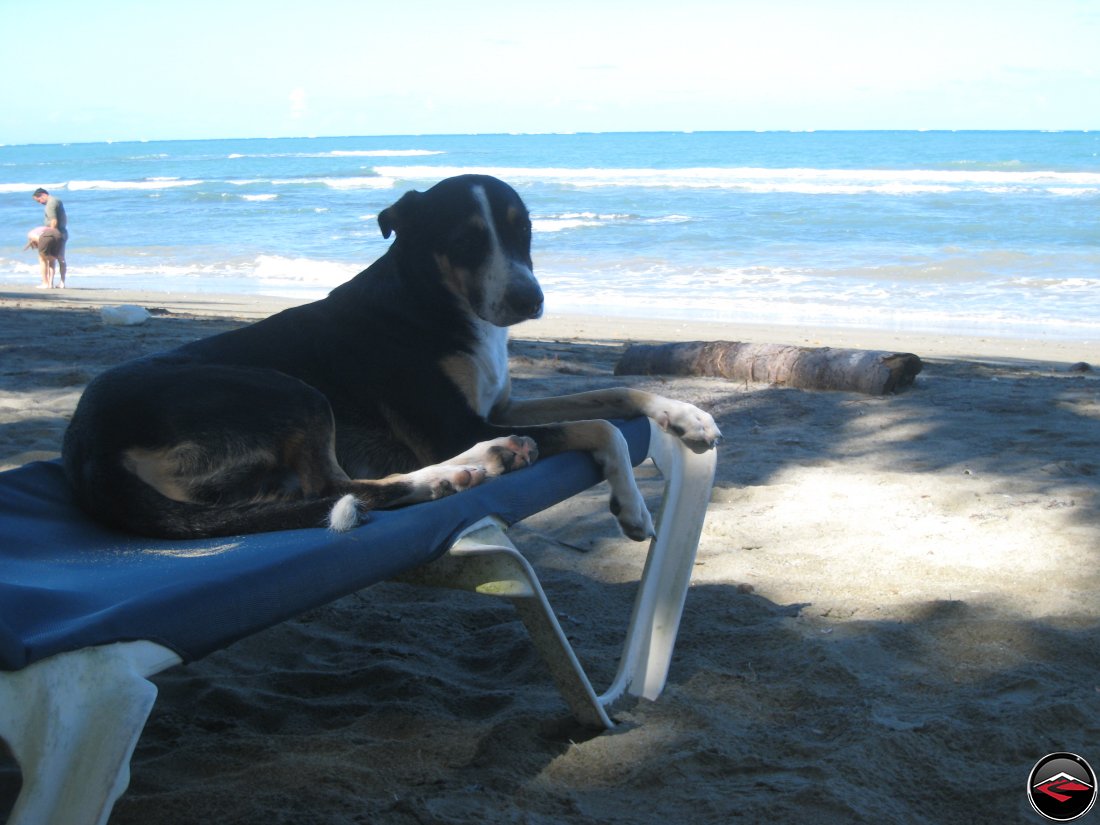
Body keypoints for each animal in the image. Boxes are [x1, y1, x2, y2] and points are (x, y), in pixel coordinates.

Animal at [66, 174, 721, 543]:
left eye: (525, 231)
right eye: (464, 240)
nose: (528, 300)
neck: (433, 300)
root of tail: (86, 451)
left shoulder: (500, 406)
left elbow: (617, 394)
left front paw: (686, 415)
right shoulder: (454, 424)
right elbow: (602, 424)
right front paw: (631, 506)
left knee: (319, 494)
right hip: (290, 391)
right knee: (339, 486)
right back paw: (464, 468)